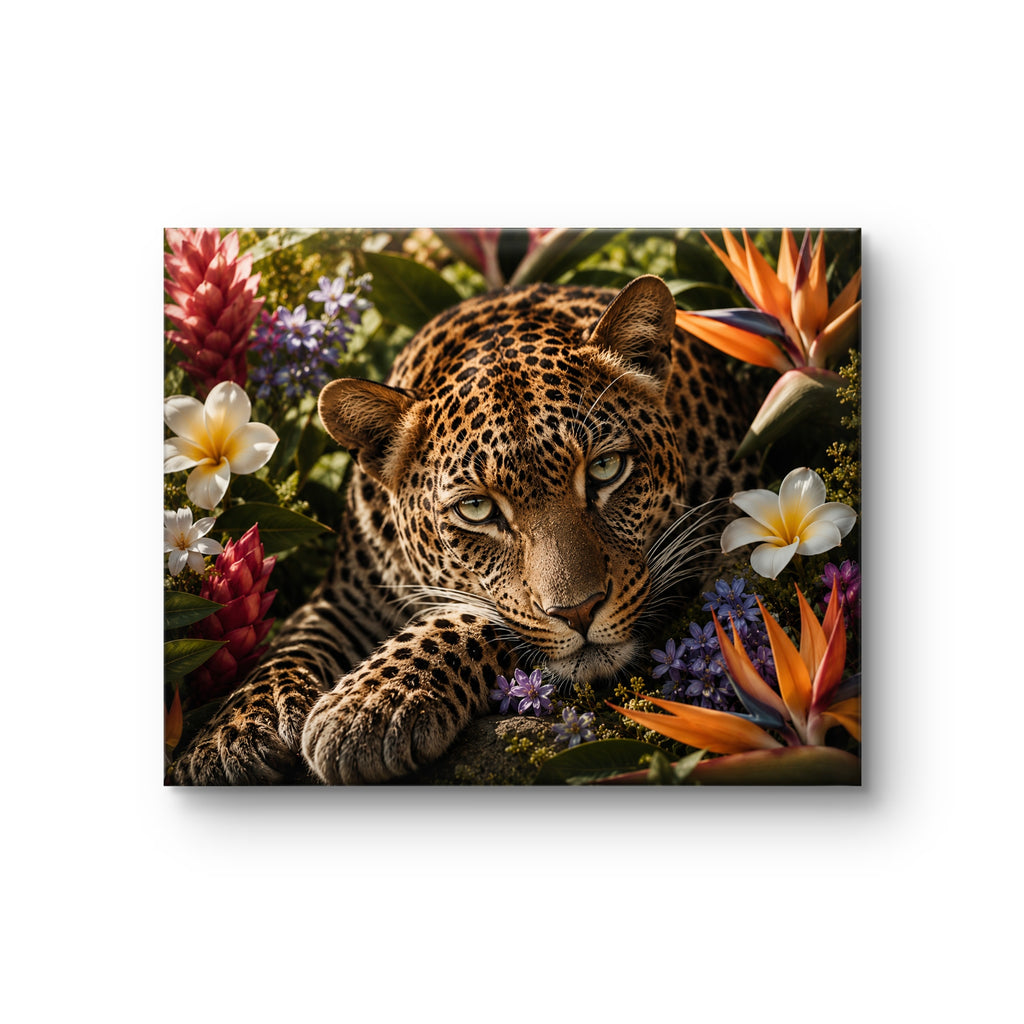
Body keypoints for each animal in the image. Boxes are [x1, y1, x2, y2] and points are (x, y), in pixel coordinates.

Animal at [171, 274, 760, 785]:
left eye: (605, 469)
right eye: (477, 509)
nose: (579, 611)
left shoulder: (701, 548)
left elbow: (476, 618)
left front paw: (370, 705)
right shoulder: (341, 600)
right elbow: (285, 649)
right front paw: (227, 738)